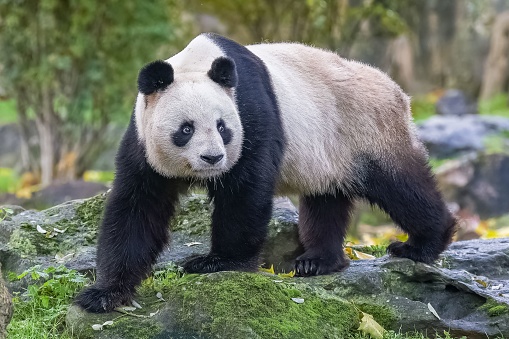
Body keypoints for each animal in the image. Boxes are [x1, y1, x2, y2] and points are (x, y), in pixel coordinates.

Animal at [75, 33, 456, 314]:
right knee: (326, 198)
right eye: (185, 129)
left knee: (400, 185)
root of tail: (398, 91)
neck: (197, 64)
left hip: (366, 128)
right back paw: (318, 261)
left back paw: (420, 244)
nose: (213, 158)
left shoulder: (251, 112)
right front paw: (103, 294)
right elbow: (137, 207)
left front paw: (216, 262)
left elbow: (244, 190)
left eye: (223, 127)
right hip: (329, 150)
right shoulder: (142, 142)